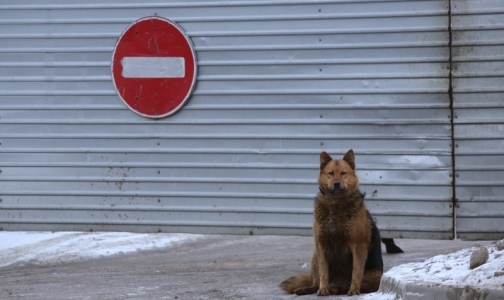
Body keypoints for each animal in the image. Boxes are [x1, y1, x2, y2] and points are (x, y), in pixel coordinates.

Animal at [280, 150, 382, 296]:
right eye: (331, 173)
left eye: (343, 173)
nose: (337, 184)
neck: (336, 202)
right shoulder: (321, 245)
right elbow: (324, 273)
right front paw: (323, 289)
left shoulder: (358, 246)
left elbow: (356, 272)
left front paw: (354, 289)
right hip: (315, 256)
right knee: (316, 282)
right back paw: (313, 289)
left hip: (373, 275)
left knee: (355, 284)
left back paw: (341, 289)